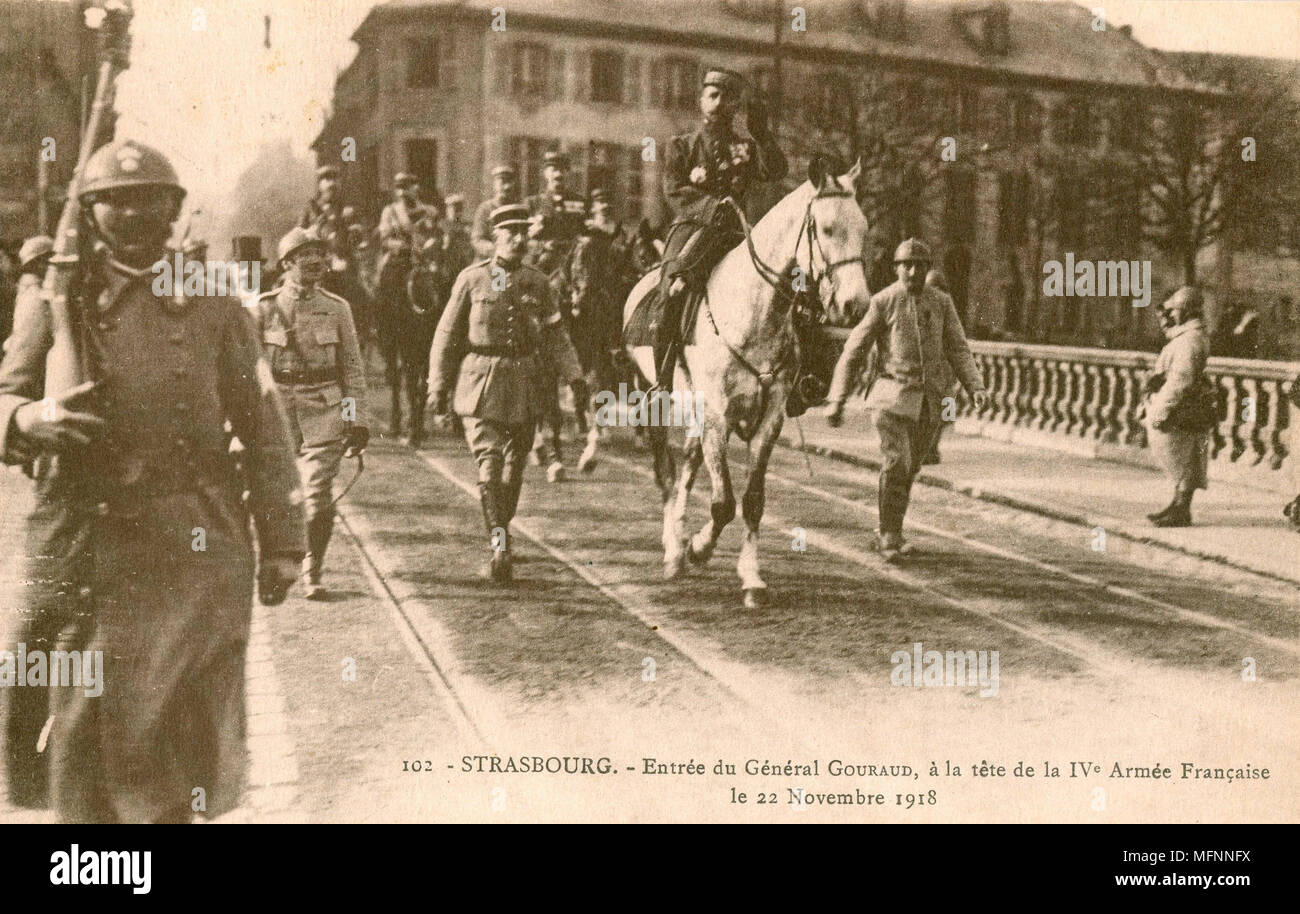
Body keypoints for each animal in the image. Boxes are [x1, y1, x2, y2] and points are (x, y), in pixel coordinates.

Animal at [621, 157, 868, 608]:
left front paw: (751, 577)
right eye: (825, 229)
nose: (854, 305)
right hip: (655, 397)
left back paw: (680, 538)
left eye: (864, 227)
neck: (755, 310)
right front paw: (699, 547)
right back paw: (673, 549)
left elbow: (752, 501)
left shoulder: (769, 419)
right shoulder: (718, 415)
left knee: (687, 464)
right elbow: (723, 503)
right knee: (667, 471)